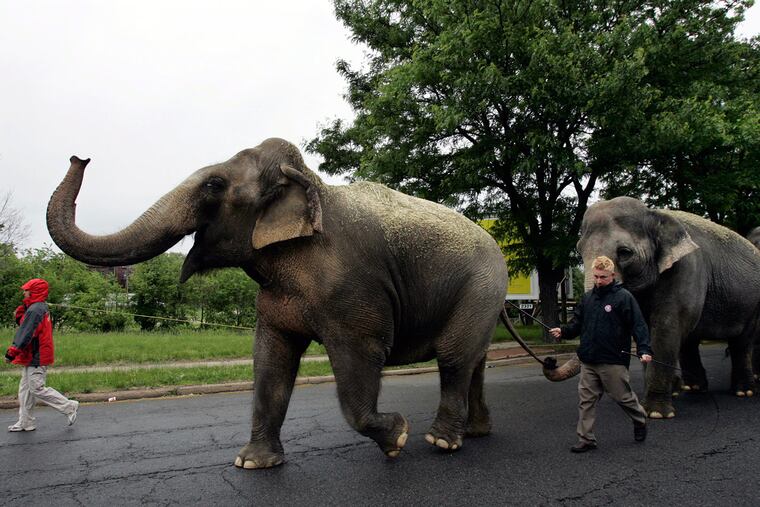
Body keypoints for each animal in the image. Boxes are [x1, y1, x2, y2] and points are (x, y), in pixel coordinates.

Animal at [46, 138, 509, 469]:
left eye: (214, 185)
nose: (80, 156)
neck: (309, 185)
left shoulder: (352, 290)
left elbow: (360, 358)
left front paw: (396, 437)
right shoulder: (273, 297)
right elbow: (270, 360)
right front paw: (252, 464)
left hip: (482, 286)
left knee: (454, 358)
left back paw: (440, 441)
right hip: (481, 295)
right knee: (474, 360)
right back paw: (475, 433)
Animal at [544, 196, 760, 419]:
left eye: (624, 252)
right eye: (579, 251)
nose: (550, 360)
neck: (655, 214)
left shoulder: (686, 268)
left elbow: (666, 326)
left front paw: (656, 413)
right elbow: (643, 329)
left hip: (753, 304)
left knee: (741, 341)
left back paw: (744, 391)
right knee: (690, 340)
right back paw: (693, 388)